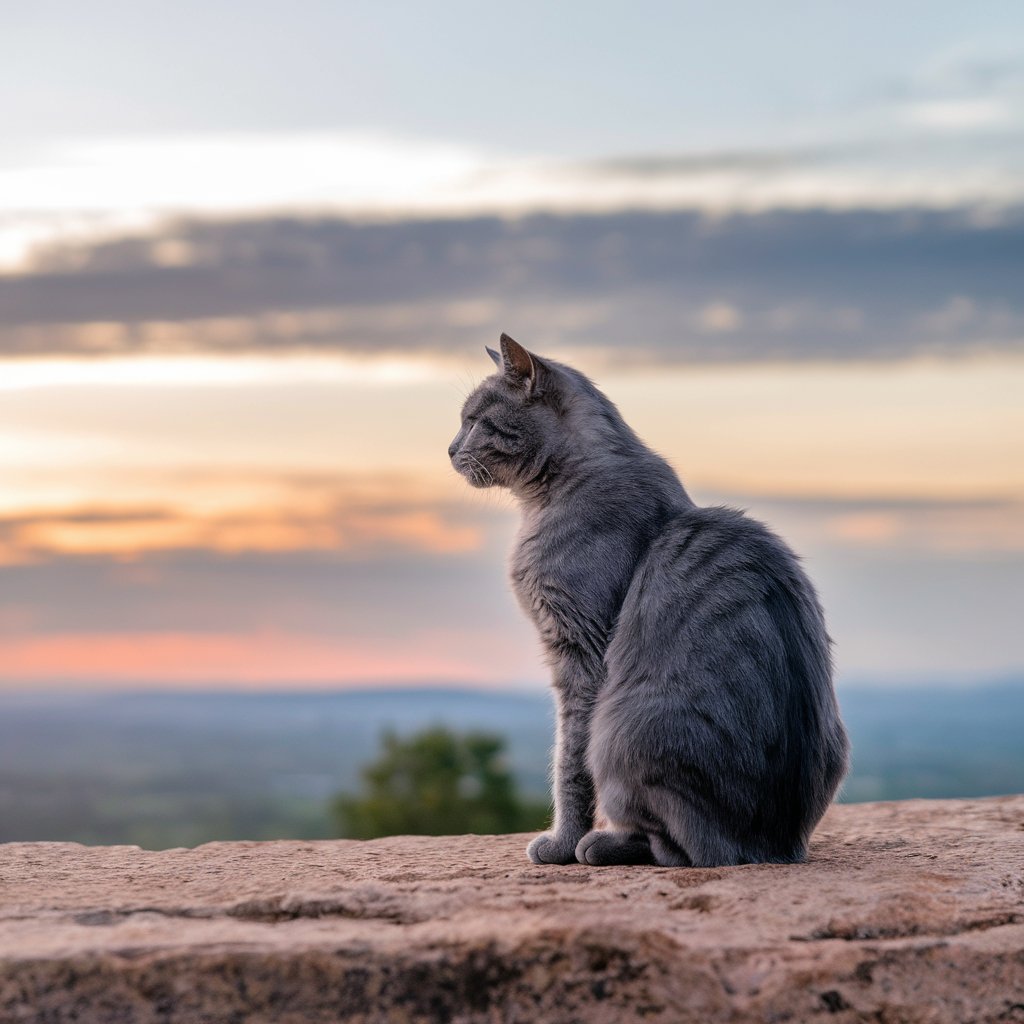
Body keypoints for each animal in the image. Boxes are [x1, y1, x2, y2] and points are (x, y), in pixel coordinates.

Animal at [448, 333, 847, 864]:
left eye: (474, 420)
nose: (449, 449)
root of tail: (775, 847)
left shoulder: (581, 653)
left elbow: (569, 763)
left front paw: (561, 843)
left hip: (618, 731)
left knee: (677, 846)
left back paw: (600, 845)